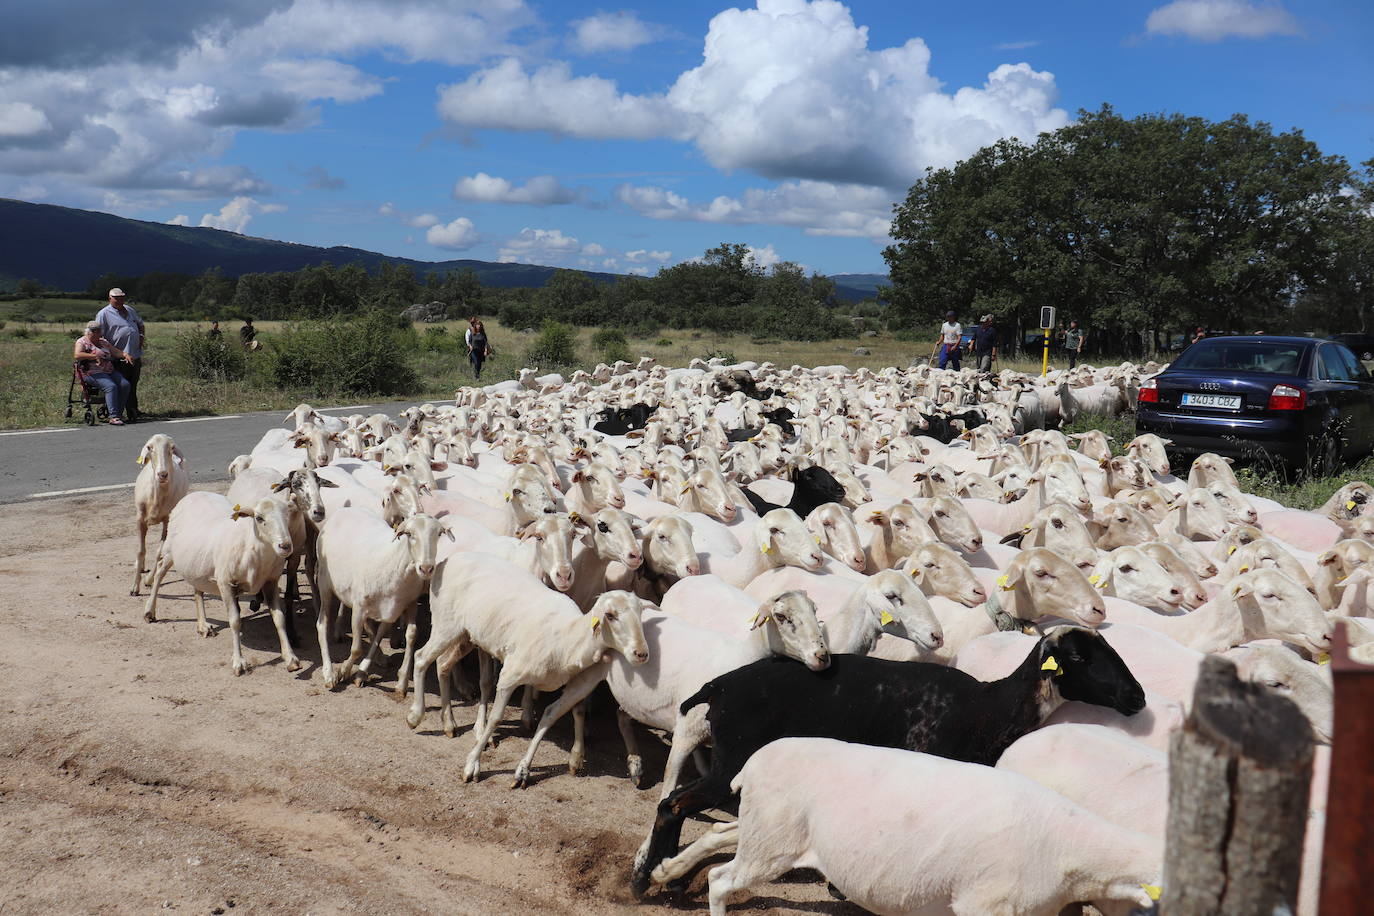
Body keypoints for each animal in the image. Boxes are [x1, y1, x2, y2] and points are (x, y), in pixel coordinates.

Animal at [632, 623, 1148, 895]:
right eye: (1080, 657)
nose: (1137, 697)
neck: (990, 707)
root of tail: (719, 687)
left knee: (675, 803)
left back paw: (666, 877)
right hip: (730, 762)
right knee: (671, 803)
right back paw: (645, 881)